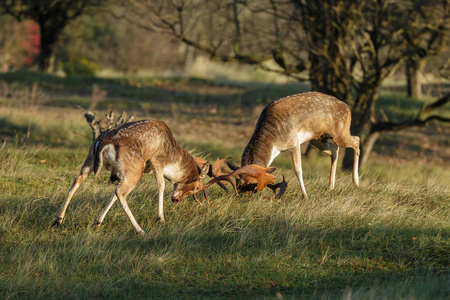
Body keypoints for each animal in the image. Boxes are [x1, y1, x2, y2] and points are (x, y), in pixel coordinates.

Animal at [49, 119, 274, 234]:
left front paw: (98, 221)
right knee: (122, 193)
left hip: (89, 160)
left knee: (79, 181)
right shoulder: (156, 161)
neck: (172, 154)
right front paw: (161, 218)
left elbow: (112, 194)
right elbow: (161, 185)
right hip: (135, 167)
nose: (176, 200)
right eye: (196, 188)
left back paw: (58, 220)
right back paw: (139, 229)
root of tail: (102, 141)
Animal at [227, 91, 360, 199]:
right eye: (238, 185)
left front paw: (305, 196)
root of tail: (348, 108)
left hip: (340, 133)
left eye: (254, 186)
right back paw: (331, 186)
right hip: (317, 139)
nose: (243, 198)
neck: (275, 144)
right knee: (334, 150)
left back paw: (356, 182)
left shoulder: (294, 142)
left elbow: (298, 170)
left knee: (356, 140)